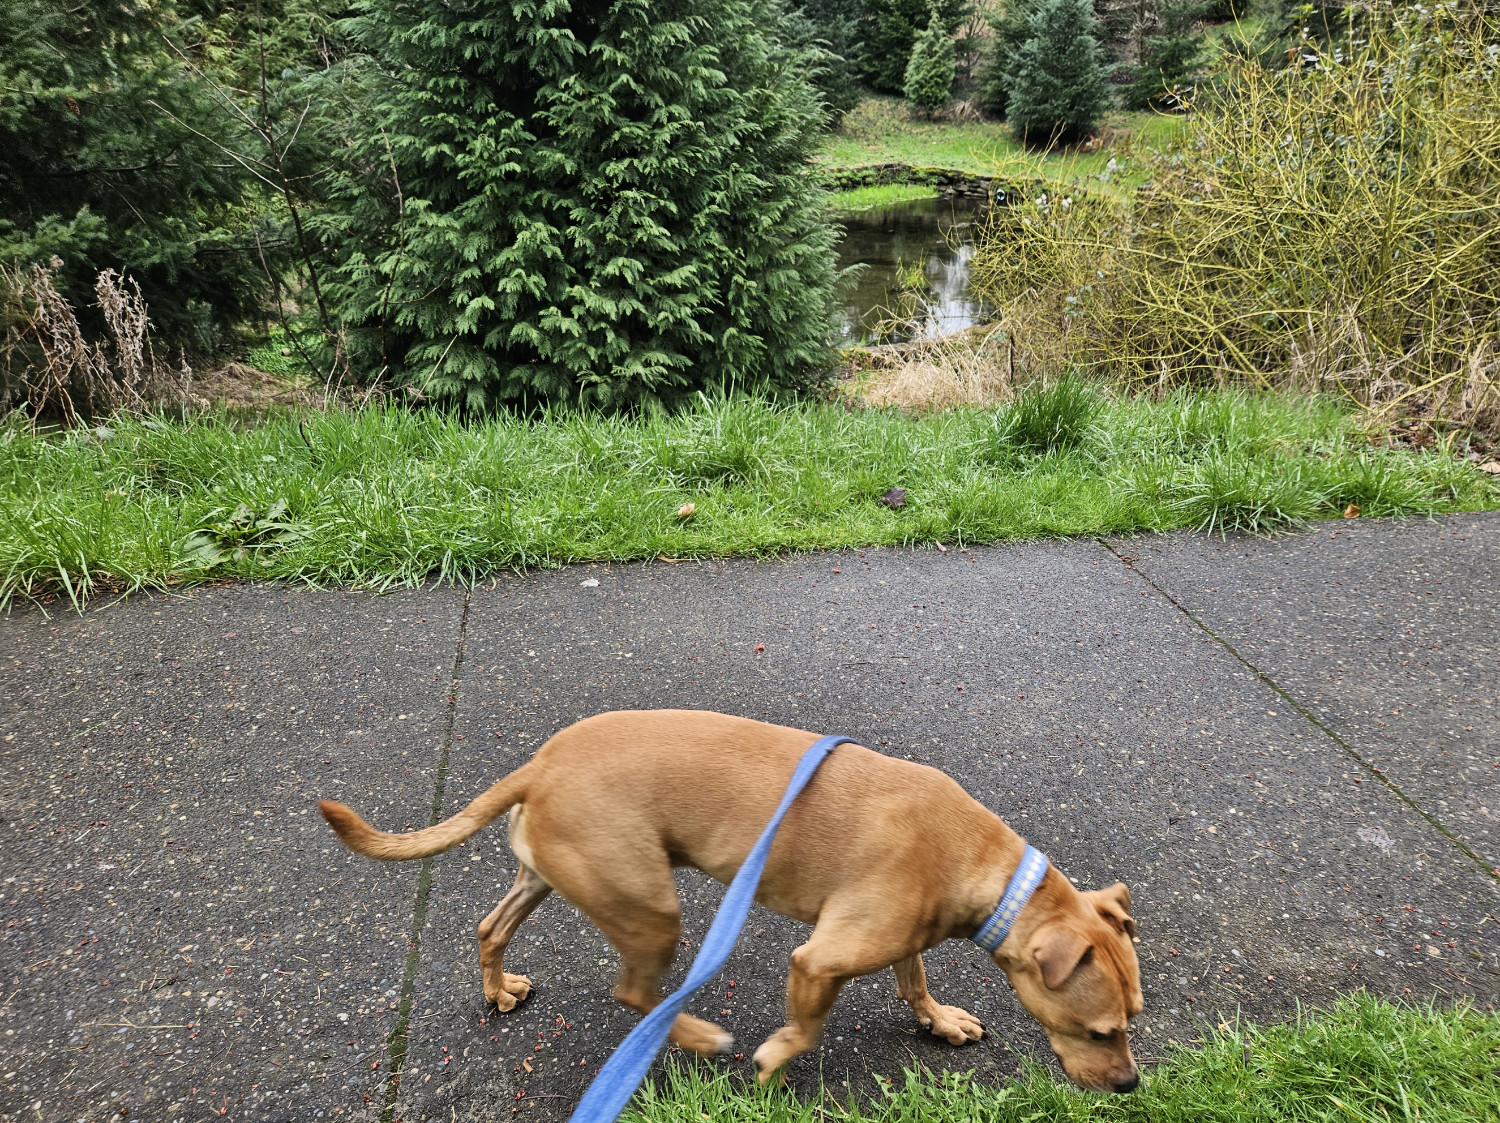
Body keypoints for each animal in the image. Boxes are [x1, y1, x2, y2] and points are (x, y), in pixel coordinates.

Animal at [322, 710, 1140, 1085]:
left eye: (1132, 1020)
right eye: (1100, 1032)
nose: (1132, 1084)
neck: (985, 869)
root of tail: (540, 763)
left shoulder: (901, 936)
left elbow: (913, 979)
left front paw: (937, 1019)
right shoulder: (820, 959)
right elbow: (805, 1027)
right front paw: (773, 1059)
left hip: (547, 875)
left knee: (491, 928)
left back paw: (497, 989)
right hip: (650, 908)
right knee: (632, 993)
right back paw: (694, 1033)